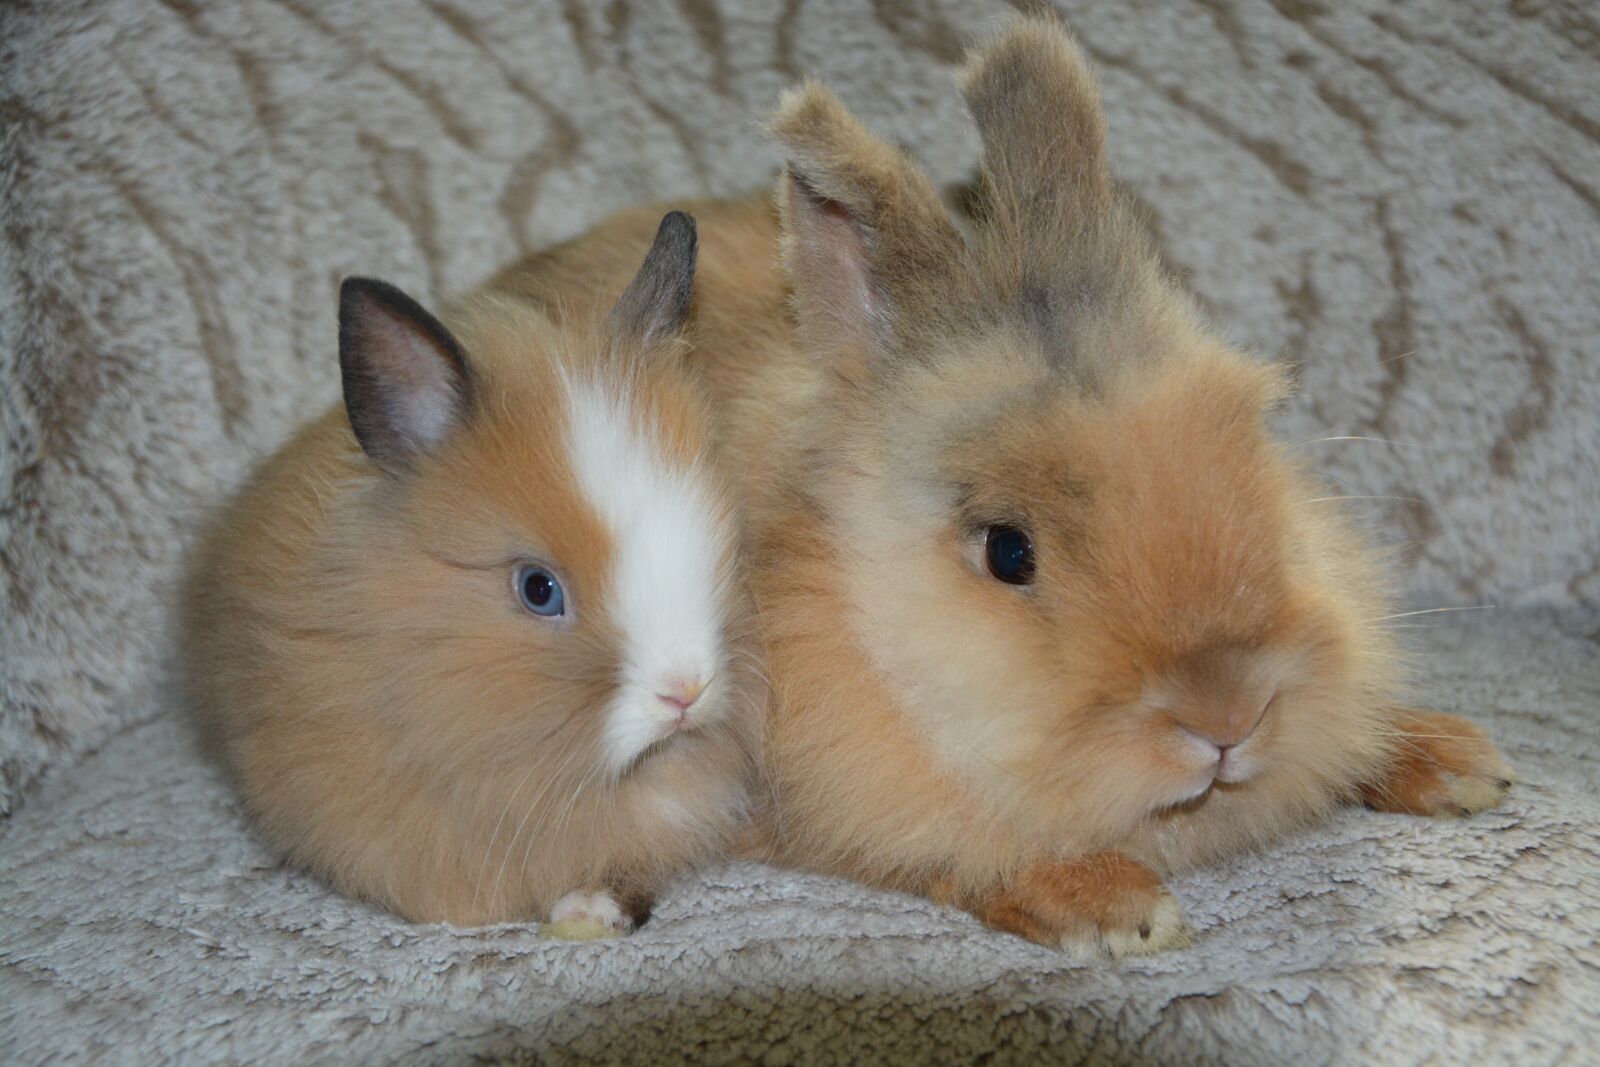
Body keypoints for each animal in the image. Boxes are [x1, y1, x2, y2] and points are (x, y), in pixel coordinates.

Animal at [487, 16, 1516, 958]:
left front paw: (1459, 762)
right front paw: (1114, 907)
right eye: (1009, 552)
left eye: (1249, 444)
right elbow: (956, 848)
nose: (1227, 715)